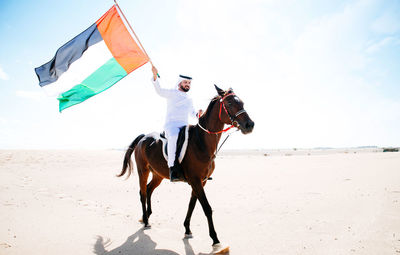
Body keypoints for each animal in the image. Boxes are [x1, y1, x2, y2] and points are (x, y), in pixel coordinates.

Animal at [117, 84, 253, 246]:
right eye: (230, 103)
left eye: (242, 102)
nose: (249, 125)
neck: (201, 142)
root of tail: (144, 137)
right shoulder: (196, 181)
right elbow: (206, 208)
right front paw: (214, 238)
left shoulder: (201, 181)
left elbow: (192, 205)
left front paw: (187, 229)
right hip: (142, 171)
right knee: (142, 192)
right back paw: (145, 220)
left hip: (158, 175)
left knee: (149, 189)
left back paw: (148, 216)